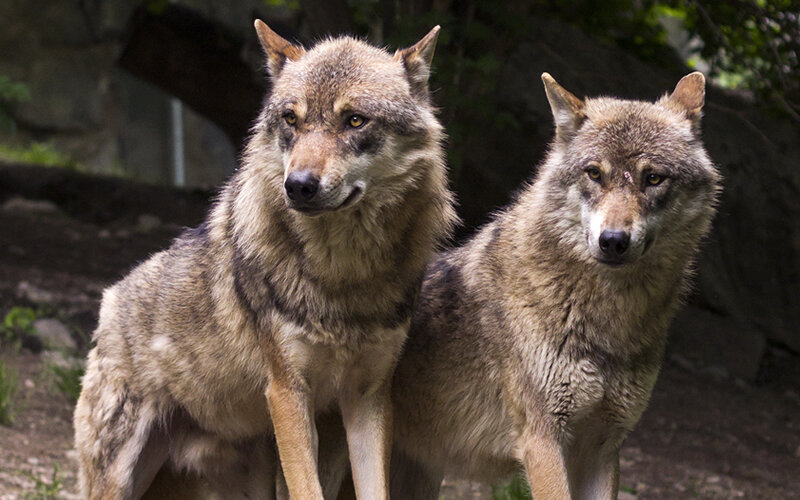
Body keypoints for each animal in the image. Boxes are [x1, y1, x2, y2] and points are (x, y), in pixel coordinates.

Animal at [73, 19, 456, 500]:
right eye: (292, 119)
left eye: (354, 120)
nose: (299, 185)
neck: (343, 275)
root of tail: (109, 300)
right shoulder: (287, 393)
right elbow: (307, 489)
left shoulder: (367, 397)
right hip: (120, 475)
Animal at [384, 72, 720, 498]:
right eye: (594, 173)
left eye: (653, 179)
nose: (613, 240)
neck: (608, 320)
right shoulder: (542, 439)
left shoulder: (603, 446)